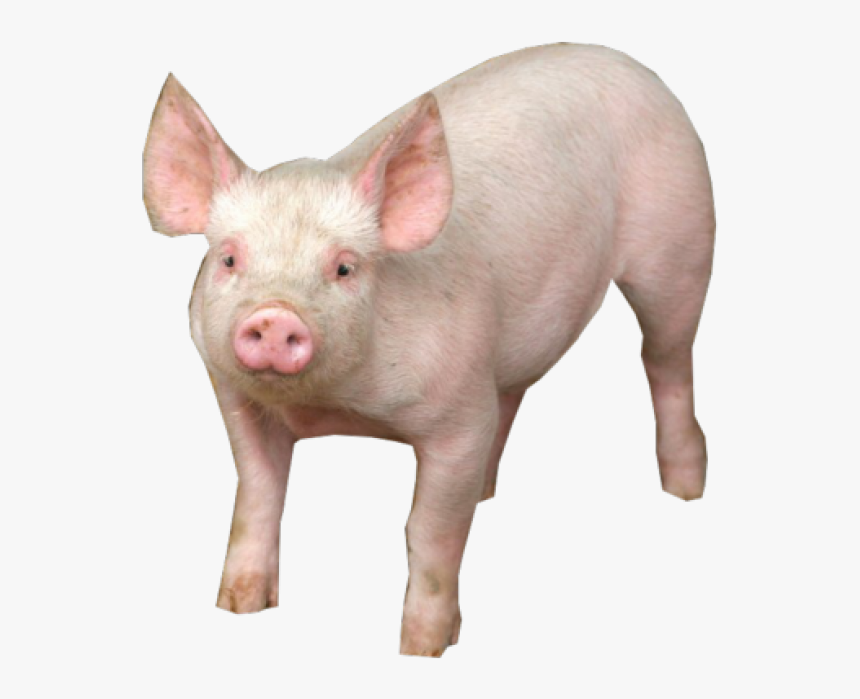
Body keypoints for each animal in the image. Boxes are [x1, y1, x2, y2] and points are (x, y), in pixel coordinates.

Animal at [142, 43, 714, 657]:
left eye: (345, 267)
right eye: (229, 258)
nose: (274, 316)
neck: (333, 408)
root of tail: (628, 63)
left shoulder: (456, 416)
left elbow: (429, 530)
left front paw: (421, 648)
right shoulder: (236, 396)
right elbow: (257, 495)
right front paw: (237, 607)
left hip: (680, 243)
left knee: (666, 359)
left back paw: (684, 491)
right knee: (512, 394)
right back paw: (486, 492)